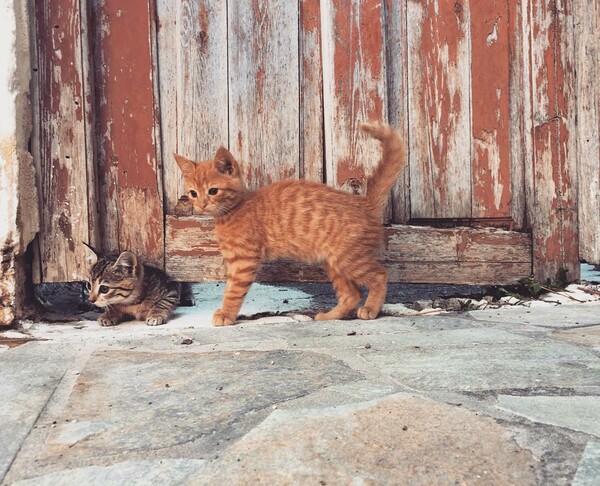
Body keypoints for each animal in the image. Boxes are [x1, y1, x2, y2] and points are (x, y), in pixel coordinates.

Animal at [176, 123, 406, 324]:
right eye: (193, 193)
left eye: (213, 191)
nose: (201, 205)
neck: (233, 212)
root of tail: (363, 203)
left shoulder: (243, 261)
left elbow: (233, 291)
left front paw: (226, 314)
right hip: (333, 262)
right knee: (352, 294)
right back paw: (329, 316)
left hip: (350, 258)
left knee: (380, 275)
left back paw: (371, 309)